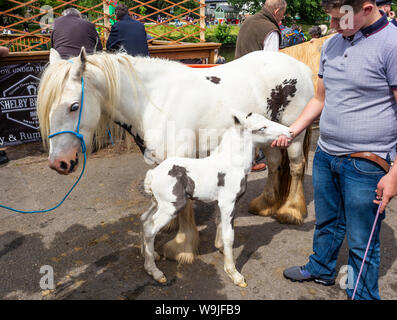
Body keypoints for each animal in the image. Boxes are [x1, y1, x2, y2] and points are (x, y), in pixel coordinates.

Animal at [38, 46, 314, 264]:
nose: (58, 163)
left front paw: (182, 246)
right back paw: (266, 204)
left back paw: (290, 210)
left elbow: (186, 207)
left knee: (296, 167)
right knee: (276, 166)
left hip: (293, 134)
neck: (154, 101)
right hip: (270, 137)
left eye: (74, 106)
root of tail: (300, 66)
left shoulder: (183, 155)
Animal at [140, 111, 290, 286]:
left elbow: (220, 225)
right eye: (262, 128)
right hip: (171, 207)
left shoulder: (221, 204)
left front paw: (221, 249)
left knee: (144, 220)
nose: (289, 132)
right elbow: (229, 236)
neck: (231, 164)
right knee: (150, 228)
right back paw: (155, 272)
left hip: (157, 203)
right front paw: (234, 274)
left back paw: (150, 255)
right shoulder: (228, 204)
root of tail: (153, 174)